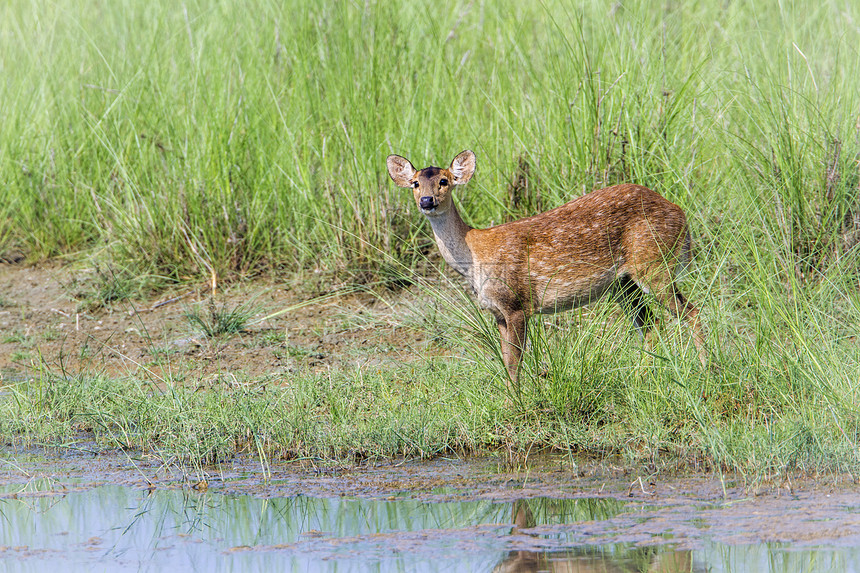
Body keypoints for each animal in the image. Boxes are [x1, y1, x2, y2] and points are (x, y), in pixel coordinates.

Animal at [386, 150, 708, 386]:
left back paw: (707, 368)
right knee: (650, 323)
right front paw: (511, 398)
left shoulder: (516, 303)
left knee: (689, 311)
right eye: (415, 183)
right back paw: (642, 376)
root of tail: (681, 214)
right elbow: (506, 360)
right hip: (622, 283)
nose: (427, 200)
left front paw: (517, 403)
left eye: (444, 181)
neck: (475, 255)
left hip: (654, 263)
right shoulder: (497, 311)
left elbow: (515, 361)